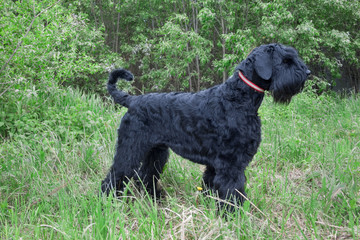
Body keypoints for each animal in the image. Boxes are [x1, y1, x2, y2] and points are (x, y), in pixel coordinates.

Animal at [102, 43, 310, 210]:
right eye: (286, 60)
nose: (307, 73)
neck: (238, 98)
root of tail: (132, 101)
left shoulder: (215, 165)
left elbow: (211, 187)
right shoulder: (231, 164)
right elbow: (232, 193)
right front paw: (234, 218)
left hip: (156, 152)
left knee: (144, 176)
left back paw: (156, 200)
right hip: (131, 149)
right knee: (115, 177)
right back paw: (106, 205)